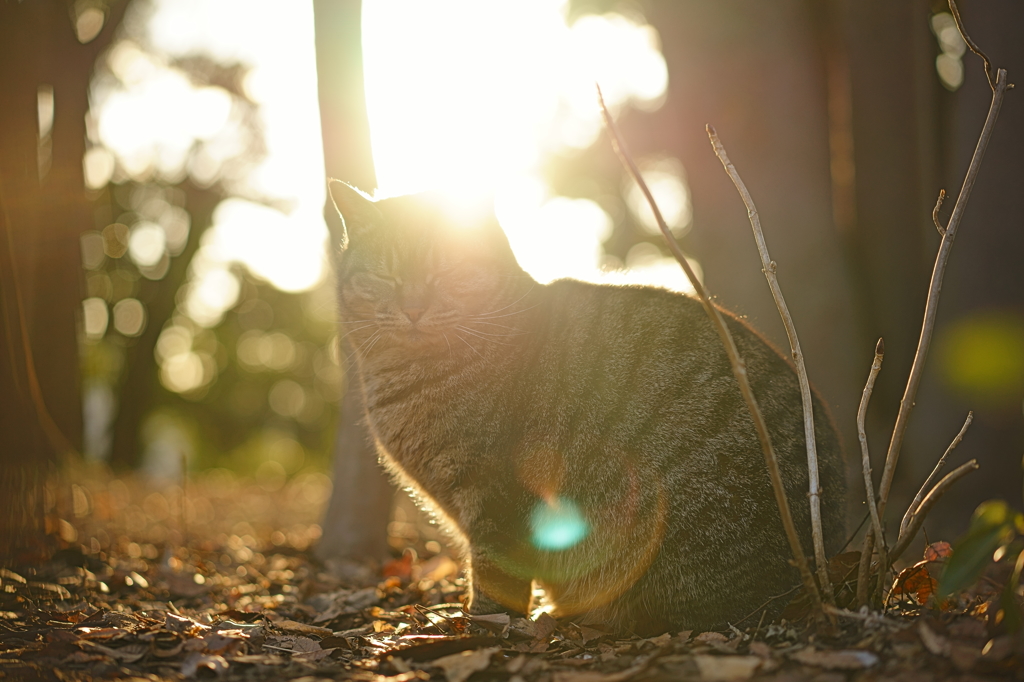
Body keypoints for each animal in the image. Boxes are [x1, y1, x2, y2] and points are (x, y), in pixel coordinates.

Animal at [329, 178, 847, 630]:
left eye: (447, 271)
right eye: (384, 275)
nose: (414, 307)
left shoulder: (495, 496)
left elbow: (495, 579)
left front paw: (479, 625)